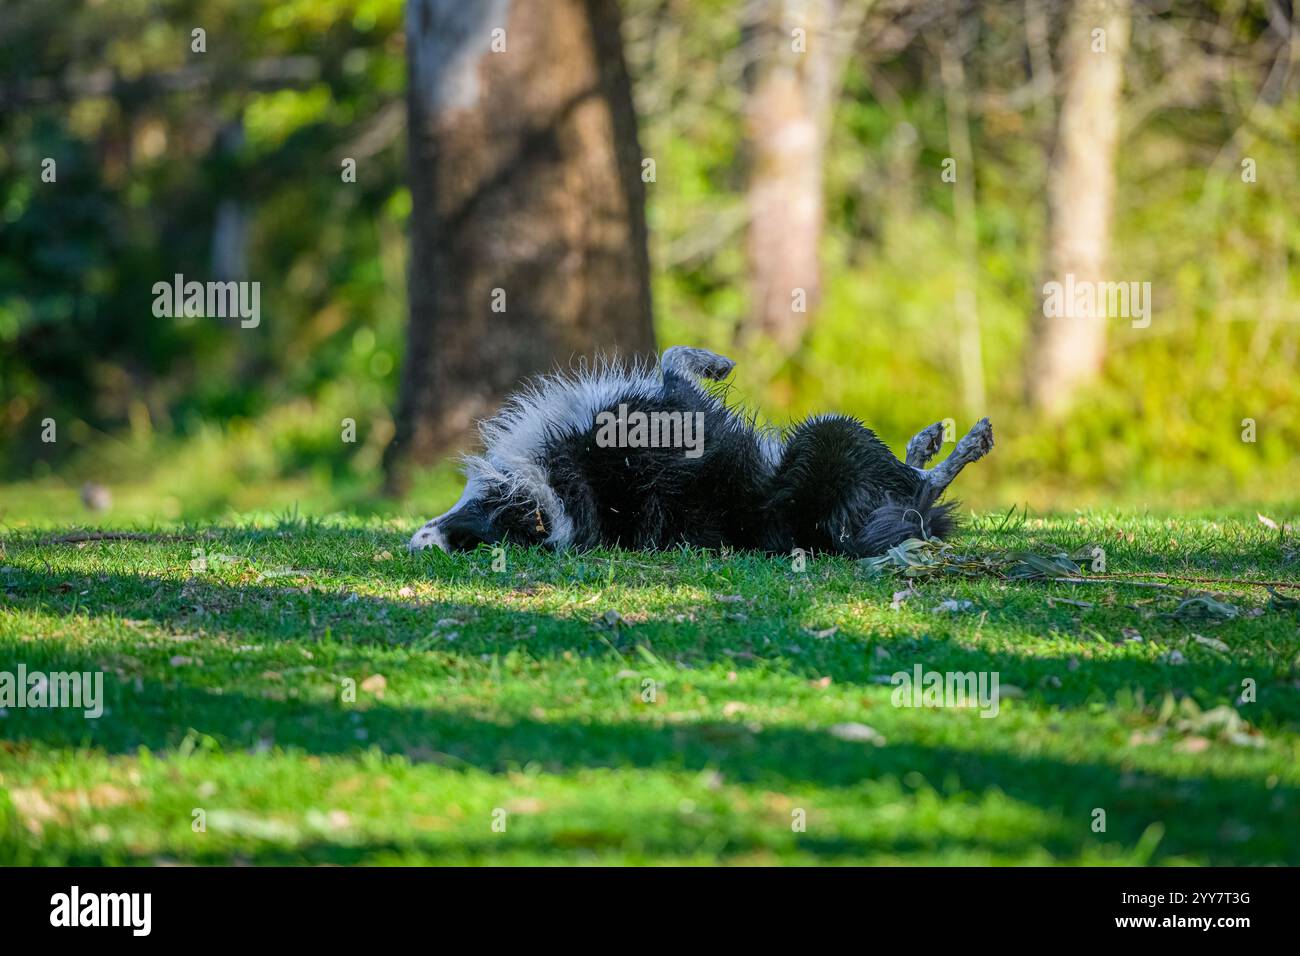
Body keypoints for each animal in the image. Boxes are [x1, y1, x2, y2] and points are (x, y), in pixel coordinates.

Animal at [410, 348, 987, 556]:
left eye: (469, 528)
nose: (420, 540)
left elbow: (673, 359)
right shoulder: (680, 410)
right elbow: (674, 361)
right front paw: (717, 362)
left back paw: (928, 442)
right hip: (829, 434)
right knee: (919, 488)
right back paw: (962, 446)